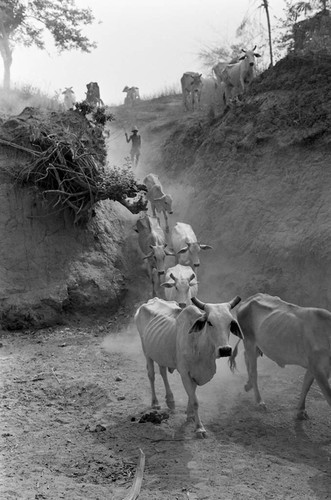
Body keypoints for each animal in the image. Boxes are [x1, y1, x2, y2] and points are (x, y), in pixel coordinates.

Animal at [136, 294, 244, 436]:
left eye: (230, 322)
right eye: (209, 322)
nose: (225, 350)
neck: (200, 345)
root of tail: (152, 300)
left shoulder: (195, 374)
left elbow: (191, 394)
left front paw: (190, 415)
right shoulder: (185, 373)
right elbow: (195, 400)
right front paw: (199, 427)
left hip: (161, 352)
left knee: (163, 372)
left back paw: (170, 400)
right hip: (146, 351)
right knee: (151, 375)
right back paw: (155, 403)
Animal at [230, 292, 331, 420]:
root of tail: (249, 299)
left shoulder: (313, 367)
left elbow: (306, 385)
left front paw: (301, 410)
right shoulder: (318, 370)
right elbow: (328, 396)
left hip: (258, 345)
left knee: (246, 356)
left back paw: (248, 385)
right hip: (249, 340)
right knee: (253, 371)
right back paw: (259, 401)